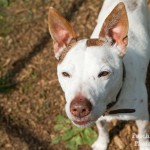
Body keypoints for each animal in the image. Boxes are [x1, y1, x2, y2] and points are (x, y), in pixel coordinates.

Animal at [47, 0, 150, 149]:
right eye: (65, 74)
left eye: (104, 73)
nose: (79, 108)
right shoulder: (100, 117)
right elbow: (102, 129)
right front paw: (102, 143)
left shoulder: (143, 117)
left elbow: (143, 133)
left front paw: (145, 146)